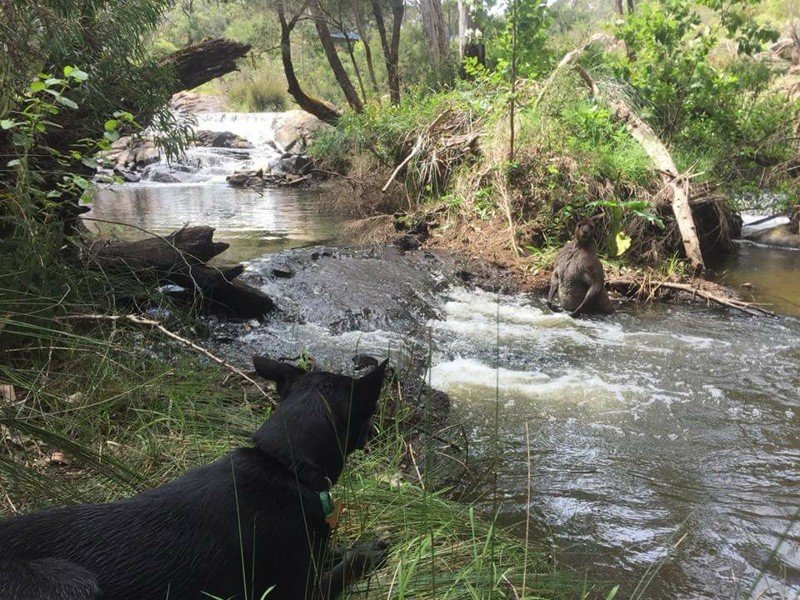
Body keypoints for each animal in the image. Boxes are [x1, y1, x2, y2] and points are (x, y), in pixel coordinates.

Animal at [0, 356, 390, 600]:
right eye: (370, 413)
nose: (376, 431)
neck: (283, 463)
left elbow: (332, 551)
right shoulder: (297, 591)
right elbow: (346, 567)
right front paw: (369, 552)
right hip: (73, 582)